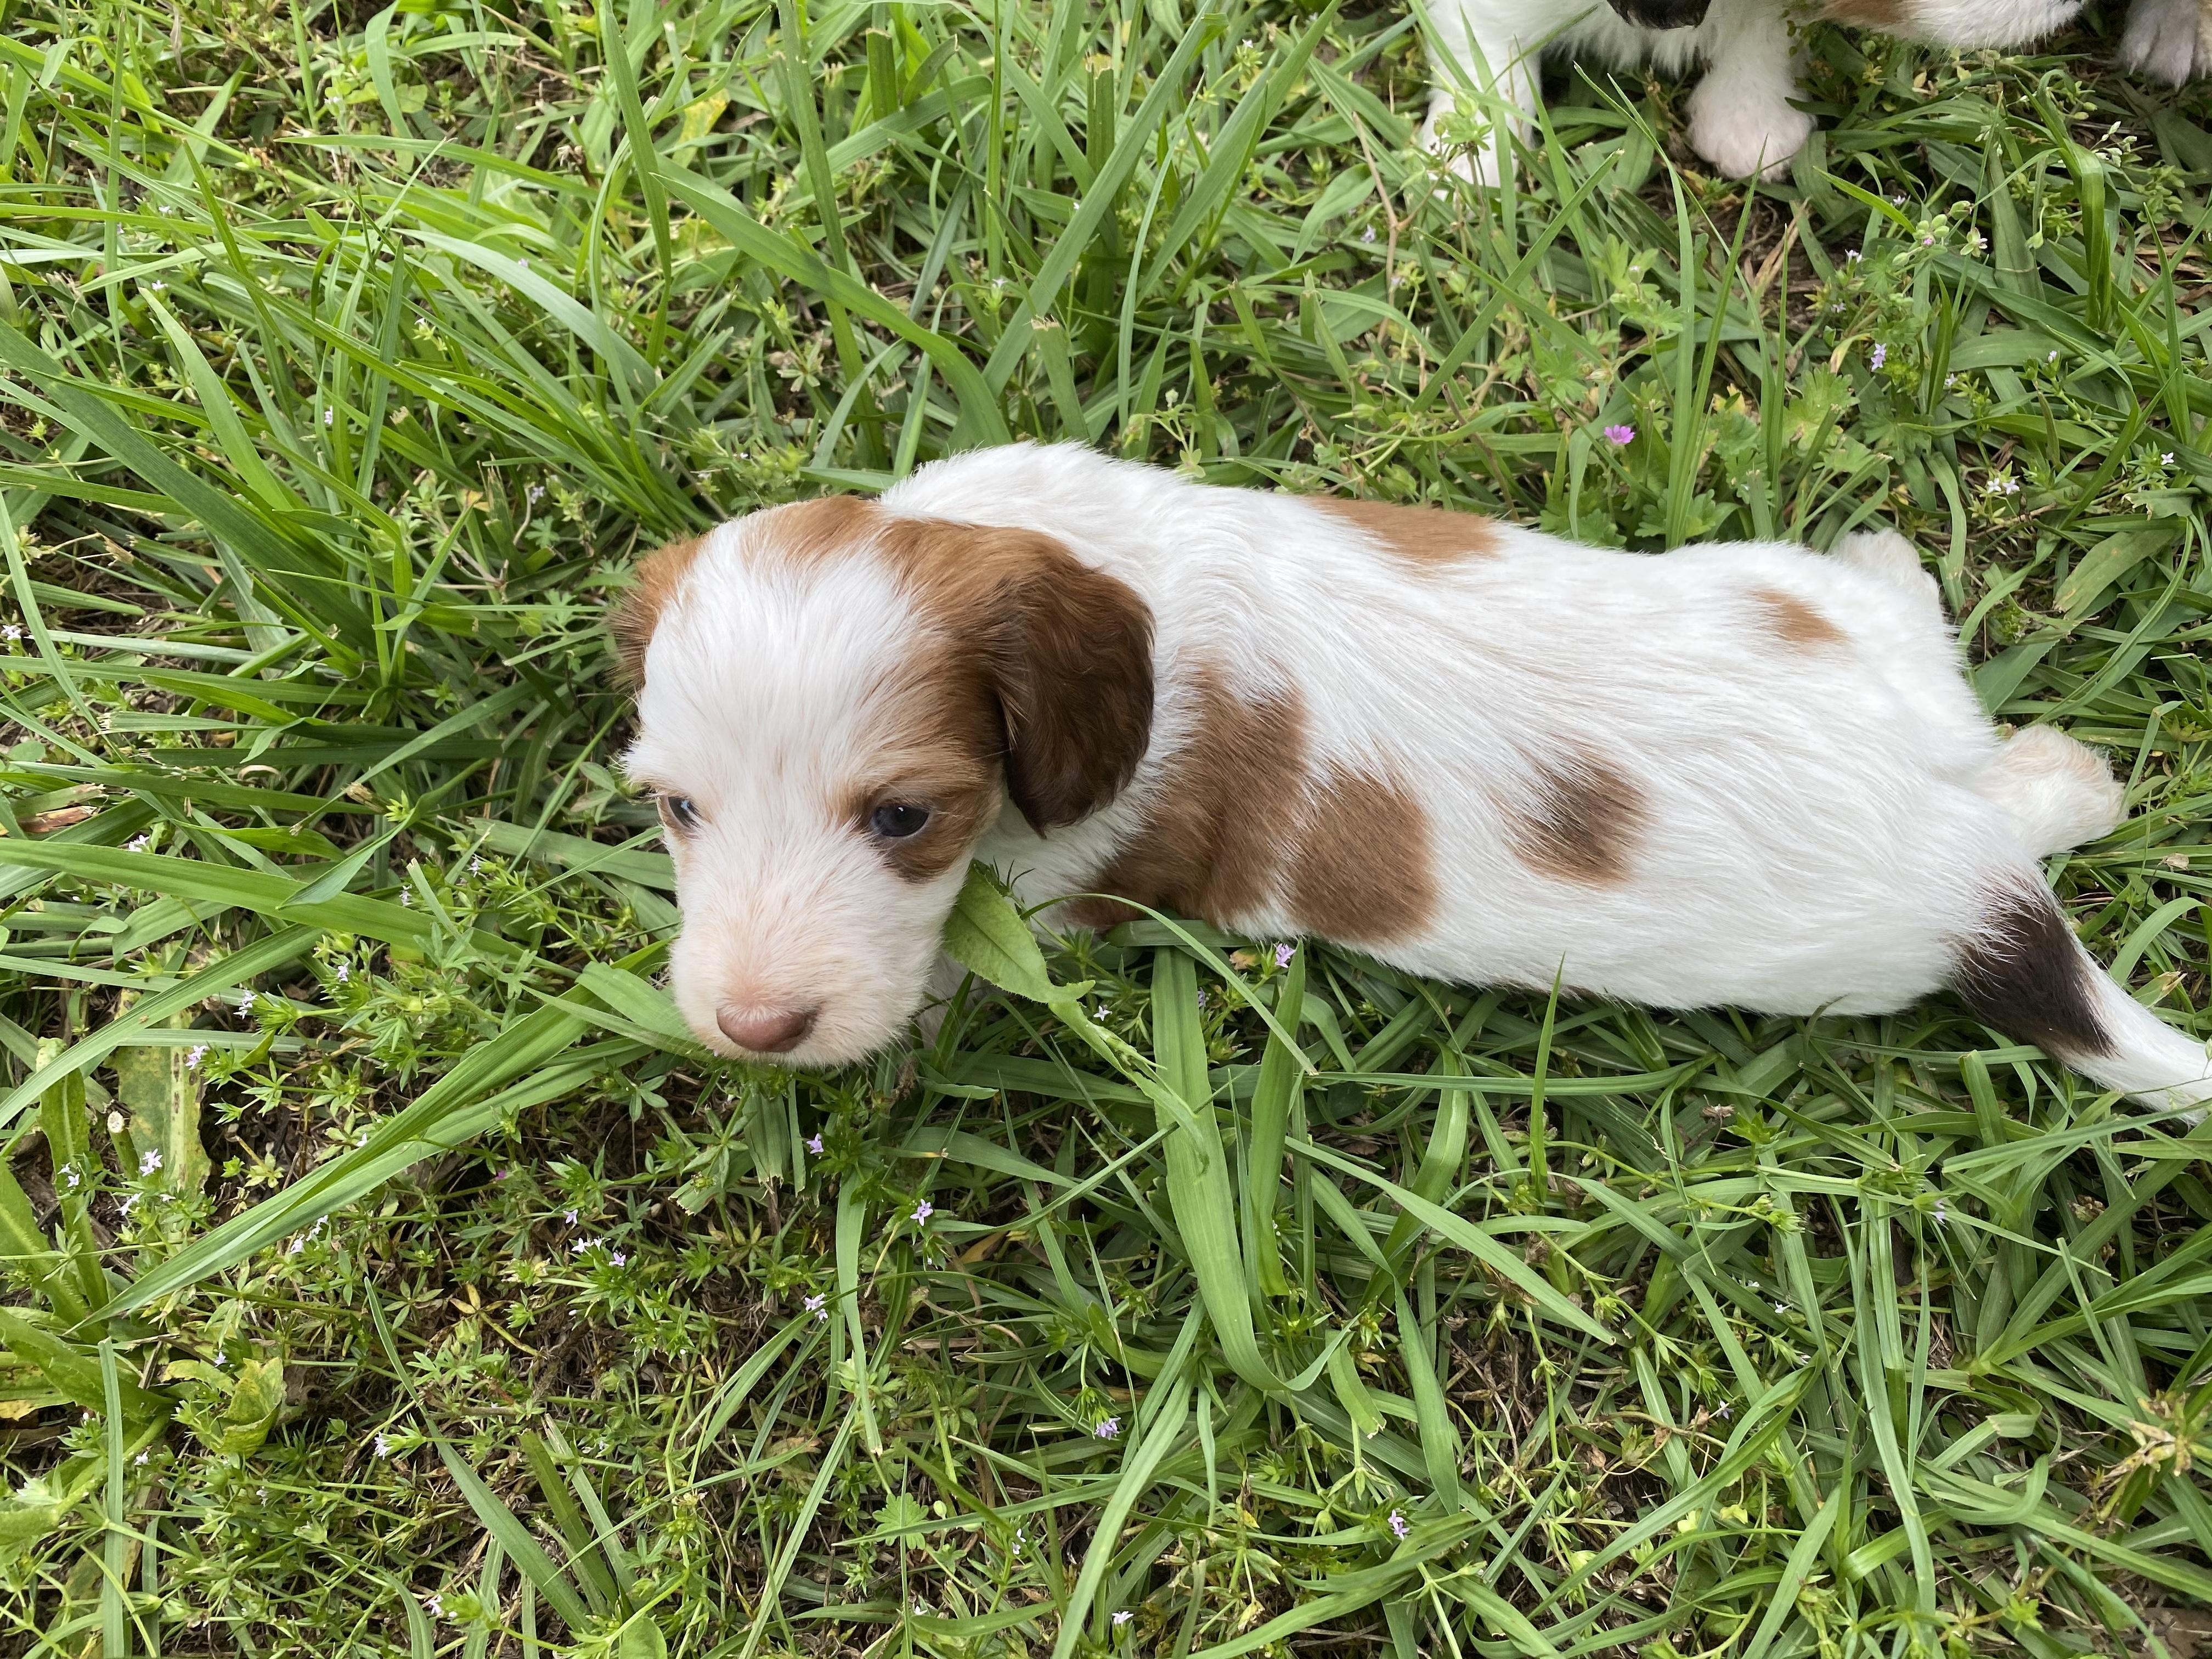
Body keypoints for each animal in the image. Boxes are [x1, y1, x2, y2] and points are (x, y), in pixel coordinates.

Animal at [614, 443, 2211, 1117]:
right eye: (678, 810)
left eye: (905, 819)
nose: (751, 1027)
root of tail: (1952, 849)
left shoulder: (1066, 873)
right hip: (1833, 629)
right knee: (1974, 719)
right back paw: (2051, 749)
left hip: (1850, 958)